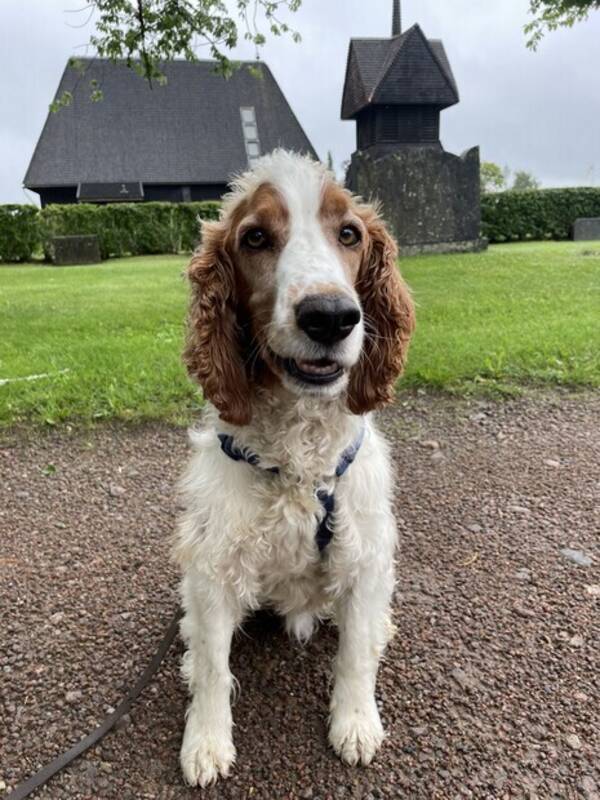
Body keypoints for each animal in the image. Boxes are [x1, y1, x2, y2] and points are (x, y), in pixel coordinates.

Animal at [172, 150, 412, 788]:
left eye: (349, 234)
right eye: (255, 237)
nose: (330, 316)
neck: (300, 464)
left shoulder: (365, 556)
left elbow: (354, 657)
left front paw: (355, 724)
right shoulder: (212, 567)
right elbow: (214, 668)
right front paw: (205, 742)